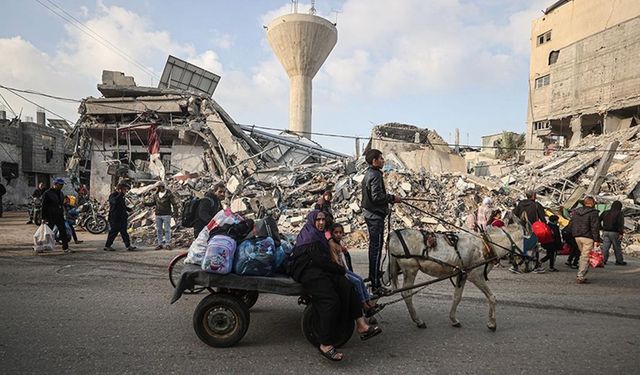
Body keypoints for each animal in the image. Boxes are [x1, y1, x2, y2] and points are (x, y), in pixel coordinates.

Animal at [388, 217, 532, 332]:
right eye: (531, 242)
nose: (530, 265)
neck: (487, 244)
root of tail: (392, 235)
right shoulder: (476, 275)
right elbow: (492, 297)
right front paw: (492, 324)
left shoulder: (461, 274)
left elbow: (457, 297)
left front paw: (454, 319)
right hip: (410, 269)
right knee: (406, 293)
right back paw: (418, 321)